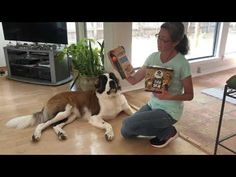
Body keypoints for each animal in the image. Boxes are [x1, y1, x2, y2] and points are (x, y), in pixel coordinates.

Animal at [5, 72, 134, 142]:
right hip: (63, 112)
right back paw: (36, 135)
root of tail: (50, 99)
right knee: (43, 124)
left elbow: (133, 113)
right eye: (104, 80)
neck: (112, 98)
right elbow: (108, 124)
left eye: (113, 77)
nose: (112, 82)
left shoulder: (127, 108)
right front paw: (109, 134)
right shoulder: (94, 118)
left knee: (55, 126)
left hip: (71, 116)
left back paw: (61, 134)